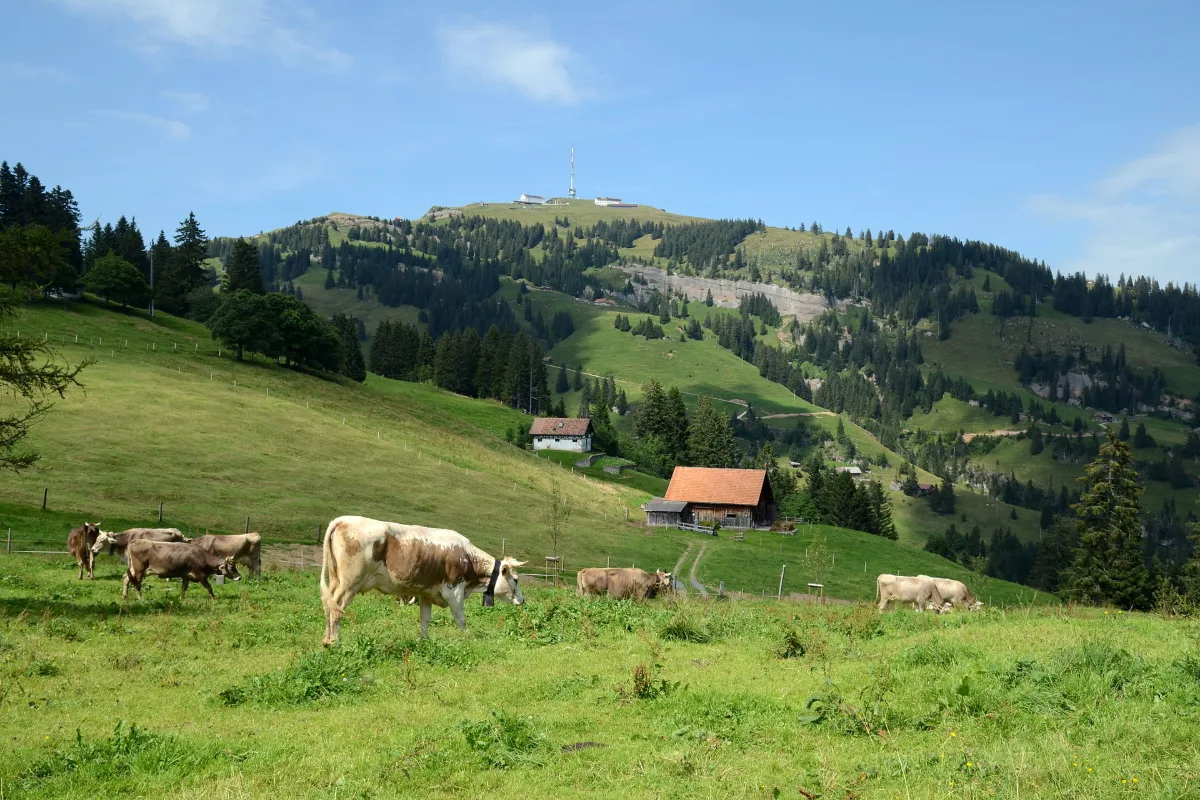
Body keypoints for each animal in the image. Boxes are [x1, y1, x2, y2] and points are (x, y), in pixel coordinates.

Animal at [320, 515, 525, 645]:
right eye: (516, 579)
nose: (522, 600)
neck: (468, 558)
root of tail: (343, 519)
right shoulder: (454, 592)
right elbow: (461, 619)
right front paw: (468, 639)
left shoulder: (426, 594)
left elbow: (425, 619)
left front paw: (424, 641)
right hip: (350, 583)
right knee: (337, 608)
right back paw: (334, 642)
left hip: (336, 580)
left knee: (328, 604)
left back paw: (326, 640)